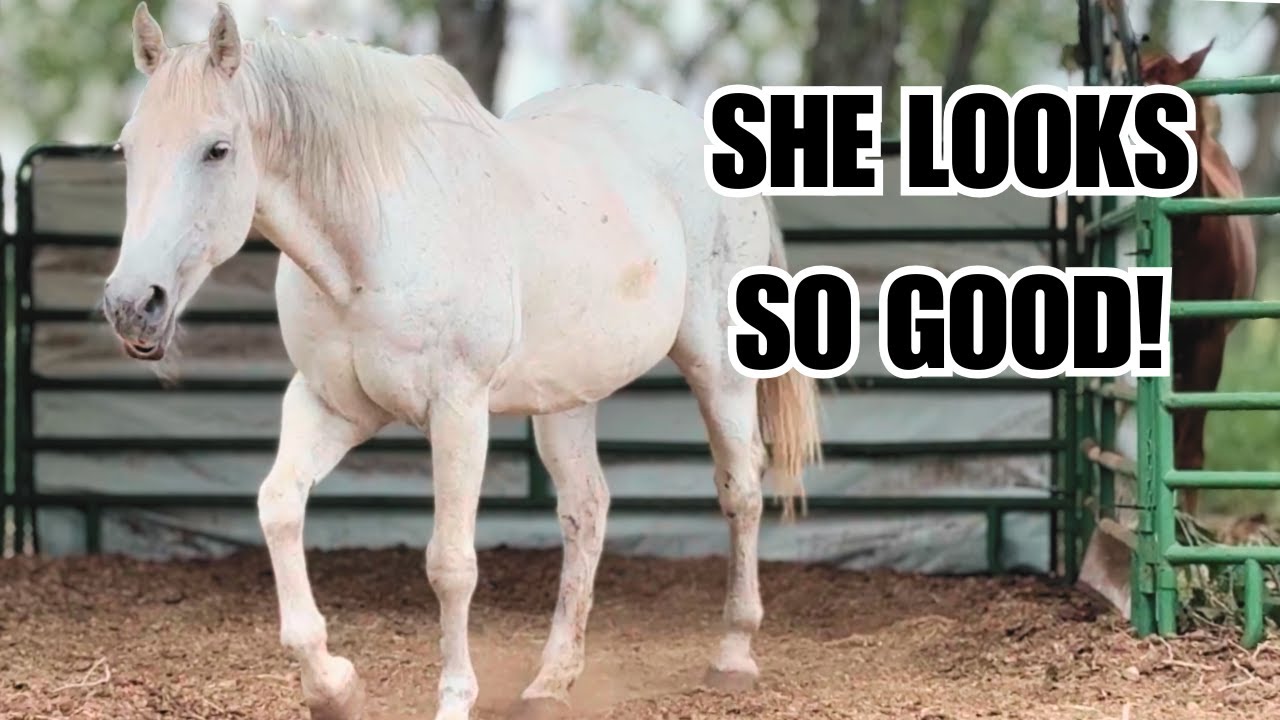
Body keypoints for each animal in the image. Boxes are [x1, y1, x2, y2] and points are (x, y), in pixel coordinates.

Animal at [101, 3, 822, 719]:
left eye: (217, 149)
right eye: (127, 149)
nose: (132, 304)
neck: (371, 240)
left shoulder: (457, 411)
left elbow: (450, 564)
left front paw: (451, 698)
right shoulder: (329, 405)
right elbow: (279, 507)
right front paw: (333, 685)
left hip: (717, 369)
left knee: (741, 490)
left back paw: (732, 655)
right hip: (566, 398)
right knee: (586, 509)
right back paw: (551, 681)